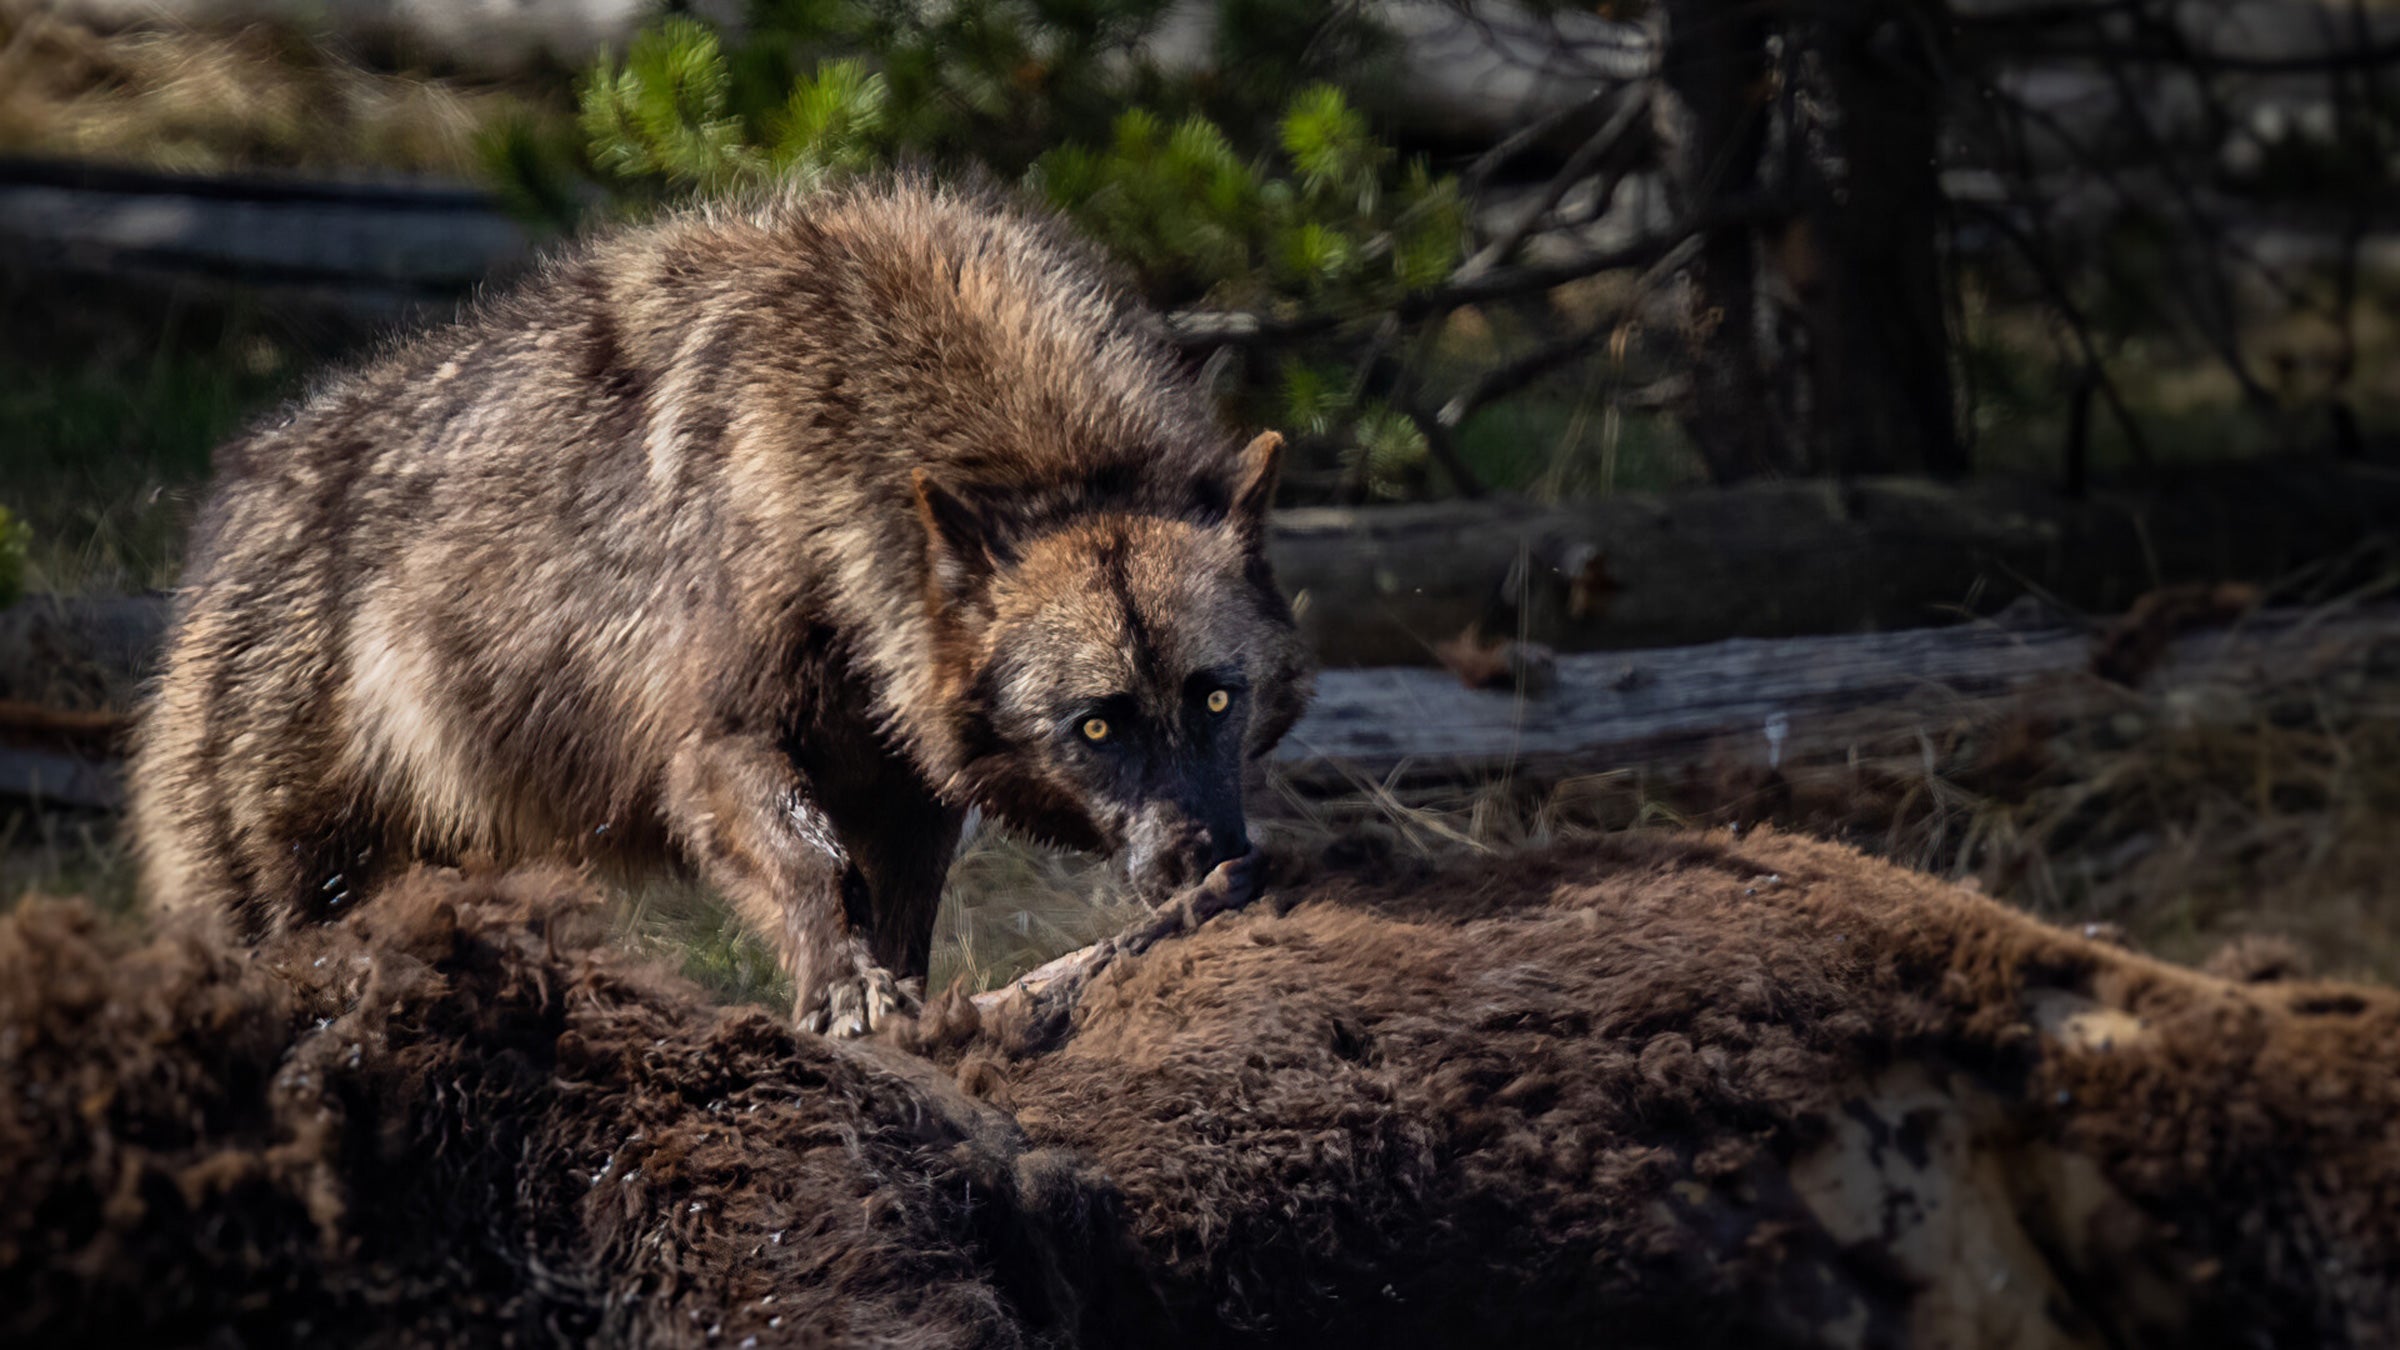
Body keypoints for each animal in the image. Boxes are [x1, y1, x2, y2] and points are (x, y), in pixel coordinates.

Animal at [126, 174, 1314, 1035]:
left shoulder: (912, 791)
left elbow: (898, 913)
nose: (1209, 866)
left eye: (1217, 700)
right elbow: (810, 863)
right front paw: (846, 997)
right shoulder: (716, 745)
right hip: (279, 896)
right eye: (1097, 725)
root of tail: (235, 502)